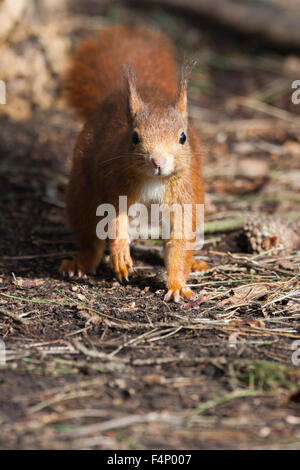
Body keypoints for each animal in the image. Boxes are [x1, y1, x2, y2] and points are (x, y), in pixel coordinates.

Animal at [59, 24, 207, 302]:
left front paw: (176, 285)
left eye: (183, 137)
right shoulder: (114, 183)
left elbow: (179, 241)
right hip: (82, 194)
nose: (158, 161)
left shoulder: (183, 195)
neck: (153, 181)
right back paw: (81, 263)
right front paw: (120, 255)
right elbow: (115, 220)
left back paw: (194, 263)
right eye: (134, 137)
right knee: (90, 234)